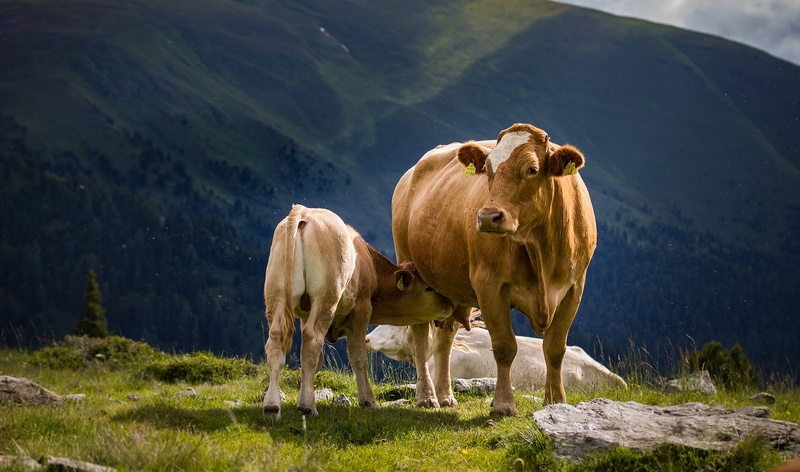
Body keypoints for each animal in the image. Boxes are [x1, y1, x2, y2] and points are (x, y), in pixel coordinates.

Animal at [260, 205, 450, 418]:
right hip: (326, 296)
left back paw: (272, 405)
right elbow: (358, 356)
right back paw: (307, 407)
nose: (450, 304)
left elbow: (316, 361)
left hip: (276, 294)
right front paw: (368, 400)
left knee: (276, 339)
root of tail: (304, 213)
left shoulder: (305, 314)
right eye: (429, 288)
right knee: (312, 338)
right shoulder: (362, 308)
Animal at [390, 122, 596, 416]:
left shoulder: (574, 287)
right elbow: (504, 346)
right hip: (411, 268)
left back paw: (445, 395)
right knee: (420, 337)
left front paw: (556, 401)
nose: (488, 216)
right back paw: (427, 397)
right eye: (487, 170)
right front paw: (503, 404)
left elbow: (555, 347)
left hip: (451, 289)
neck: (541, 249)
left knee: (445, 337)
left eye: (532, 169)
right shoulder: (489, 285)